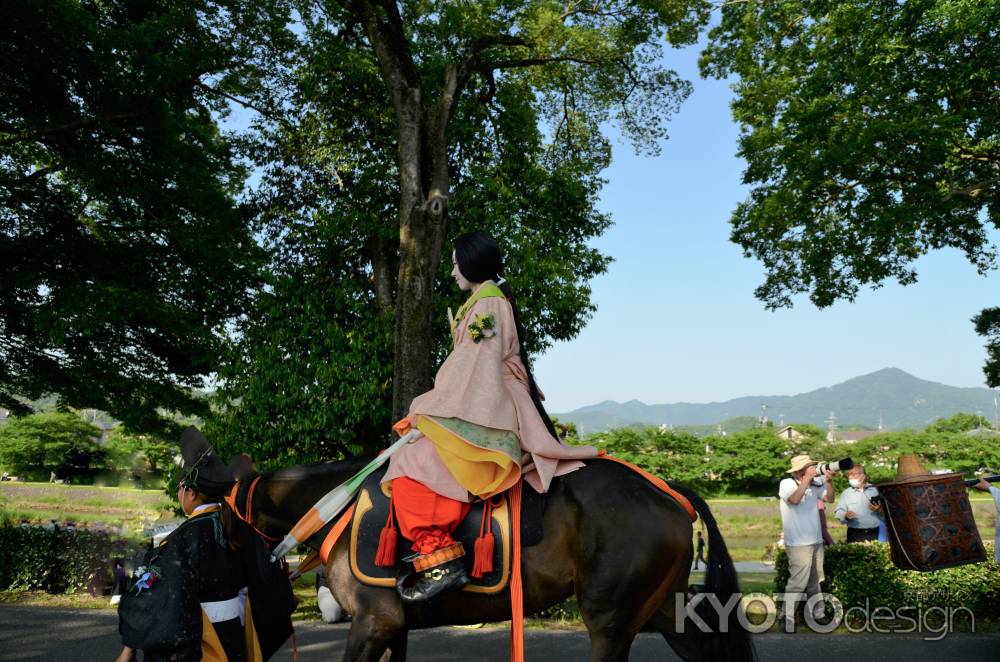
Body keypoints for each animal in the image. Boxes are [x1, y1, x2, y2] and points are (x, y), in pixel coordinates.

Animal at [246, 460, 752, 662]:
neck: (339, 509)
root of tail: (666, 490)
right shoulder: (395, 627)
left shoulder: (375, 621)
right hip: (659, 607)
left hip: (611, 616)